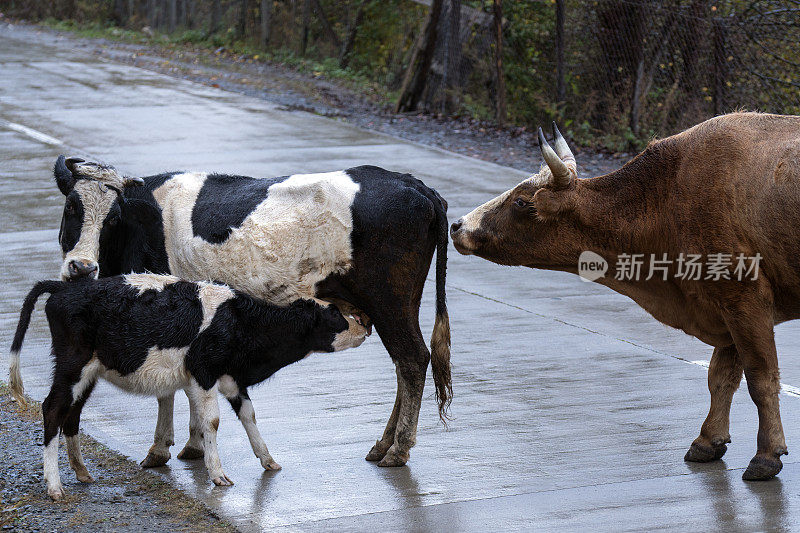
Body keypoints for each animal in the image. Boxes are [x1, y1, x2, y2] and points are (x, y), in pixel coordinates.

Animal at [8, 274, 366, 498]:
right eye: (335, 314)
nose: (365, 326)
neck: (241, 321)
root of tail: (63, 288)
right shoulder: (203, 372)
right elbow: (213, 421)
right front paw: (217, 474)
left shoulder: (230, 378)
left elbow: (248, 415)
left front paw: (268, 460)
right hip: (72, 366)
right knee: (52, 409)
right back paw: (55, 486)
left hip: (88, 374)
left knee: (72, 415)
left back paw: (82, 472)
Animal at [53, 156, 454, 468]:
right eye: (71, 206)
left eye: (113, 218)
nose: (82, 268)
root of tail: (413, 183)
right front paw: (192, 445)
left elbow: (170, 389)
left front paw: (163, 448)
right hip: (397, 305)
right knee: (404, 364)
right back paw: (383, 444)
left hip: (390, 302)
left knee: (413, 359)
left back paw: (398, 449)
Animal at [450, 111, 800, 478]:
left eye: (520, 201)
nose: (457, 226)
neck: (668, 195)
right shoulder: (722, 307)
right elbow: (720, 378)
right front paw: (707, 440)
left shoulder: (744, 299)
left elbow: (761, 380)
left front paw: (766, 455)